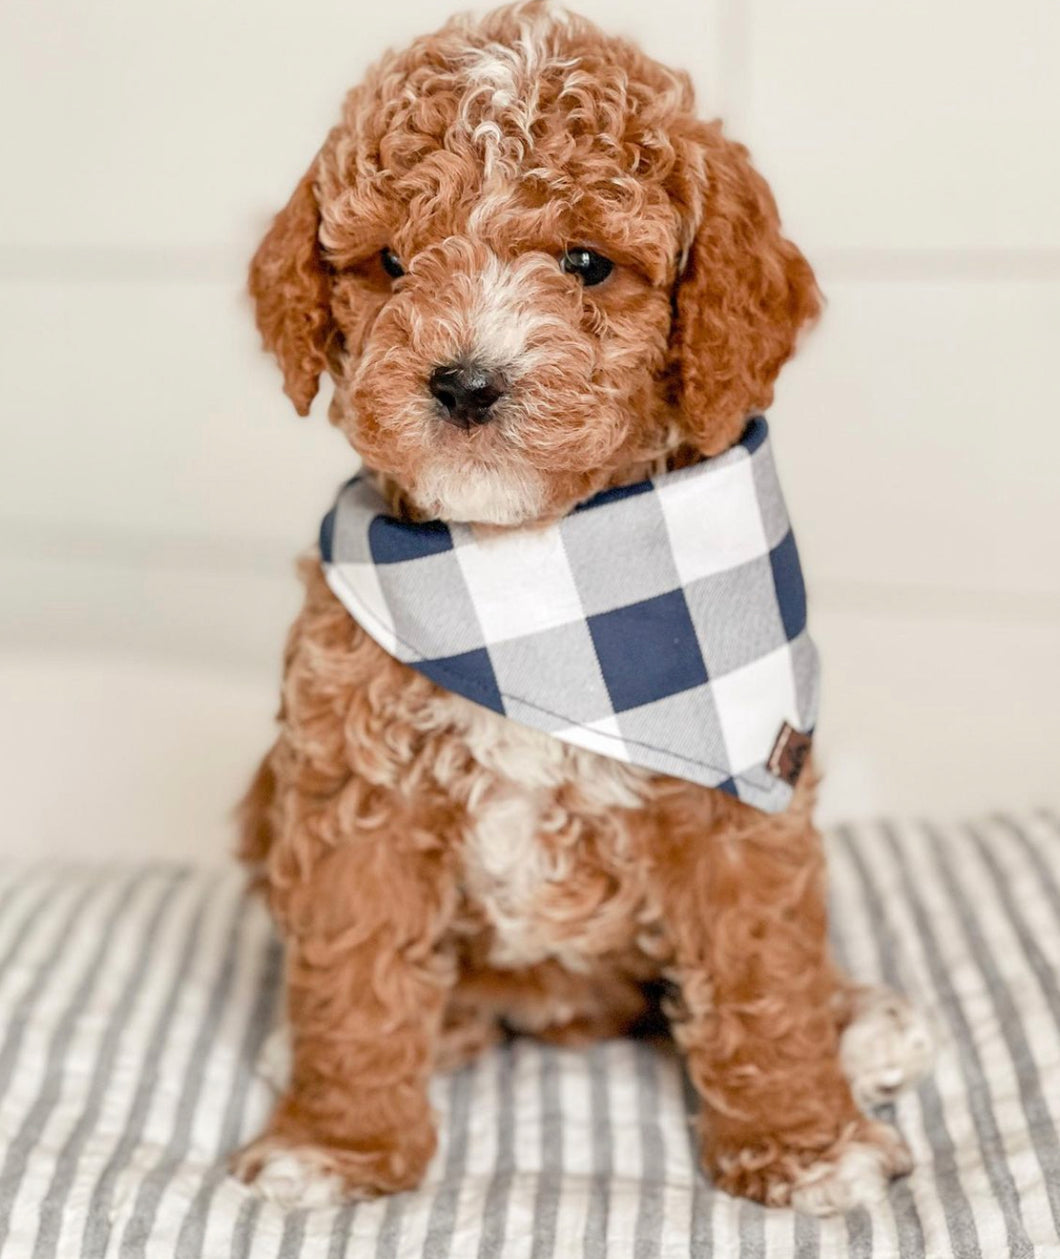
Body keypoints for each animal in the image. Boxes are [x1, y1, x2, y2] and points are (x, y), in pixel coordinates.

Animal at [235, 2, 931, 1218]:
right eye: (391, 264)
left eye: (588, 264)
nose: (464, 382)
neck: (531, 581)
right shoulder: (354, 792)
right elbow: (356, 977)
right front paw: (338, 1140)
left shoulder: (737, 805)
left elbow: (765, 971)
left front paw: (804, 1139)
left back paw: (864, 1023)